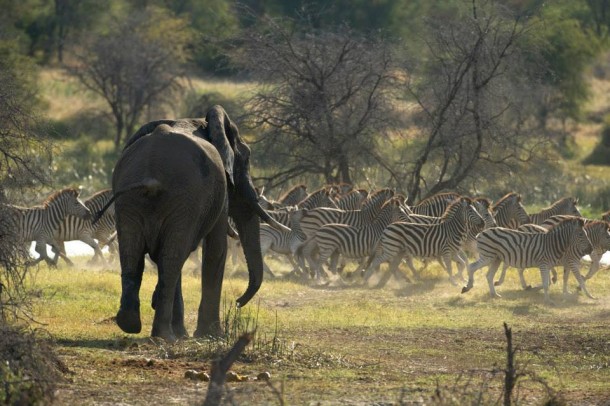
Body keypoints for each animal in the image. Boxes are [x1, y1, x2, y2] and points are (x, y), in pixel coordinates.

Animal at [107, 106, 288, 340]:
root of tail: (151, 176)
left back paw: (131, 324)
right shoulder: (217, 191)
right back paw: (164, 336)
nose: (238, 302)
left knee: (136, 254)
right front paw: (211, 335)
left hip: (131, 200)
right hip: (183, 198)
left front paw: (186, 334)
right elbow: (216, 248)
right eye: (247, 156)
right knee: (171, 258)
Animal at [460, 217, 588, 302]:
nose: (590, 248)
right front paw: (548, 300)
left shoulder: (551, 264)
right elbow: (547, 283)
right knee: (472, 267)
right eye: (581, 234)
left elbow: (551, 281)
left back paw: (494, 294)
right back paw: (467, 287)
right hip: (488, 256)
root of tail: (482, 233)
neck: (552, 243)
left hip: (496, 258)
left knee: (489, 276)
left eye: (585, 234)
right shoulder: (544, 263)